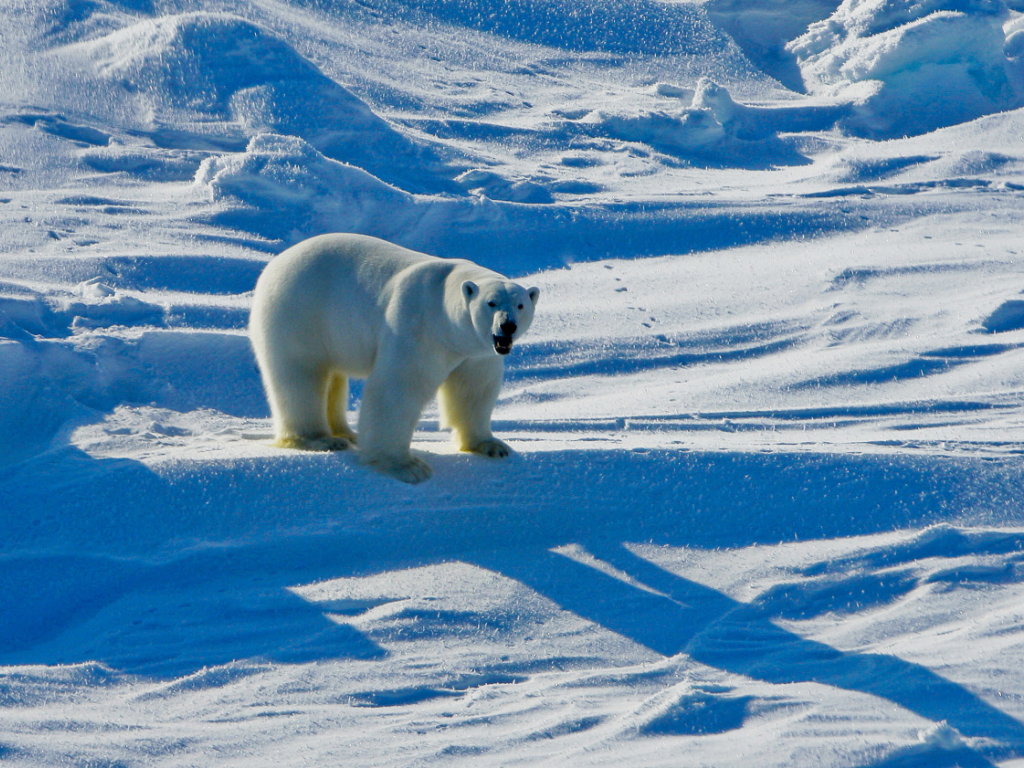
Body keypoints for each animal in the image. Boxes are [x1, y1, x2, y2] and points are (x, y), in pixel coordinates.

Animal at [248, 234, 540, 483]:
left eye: (520, 305)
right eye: (491, 303)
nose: (507, 326)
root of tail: (275, 263)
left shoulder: (477, 352)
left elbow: (474, 390)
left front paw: (492, 446)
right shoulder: (418, 328)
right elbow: (398, 389)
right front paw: (407, 467)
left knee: (333, 378)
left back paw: (347, 433)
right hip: (299, 312)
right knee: (301, 376)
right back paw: (320, 439)